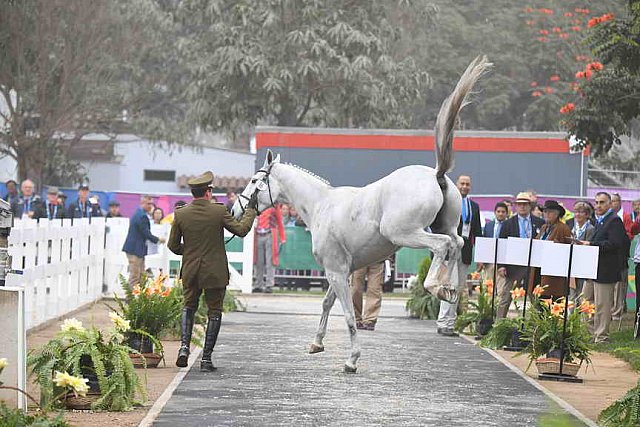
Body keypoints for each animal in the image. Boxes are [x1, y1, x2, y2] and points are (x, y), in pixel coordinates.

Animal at [232, 56, 492, 372]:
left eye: (255, 181)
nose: (235, 208)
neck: (321, 205)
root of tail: (436, 174)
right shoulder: (340, 271)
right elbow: (327, 304)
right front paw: (316, 343)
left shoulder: (335, 271)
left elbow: (347, 315)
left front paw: (352, 359)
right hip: (445, 227)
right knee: (457, 244)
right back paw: (450, 289)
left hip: (406, 233)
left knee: (443, 246)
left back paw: (436, 287)